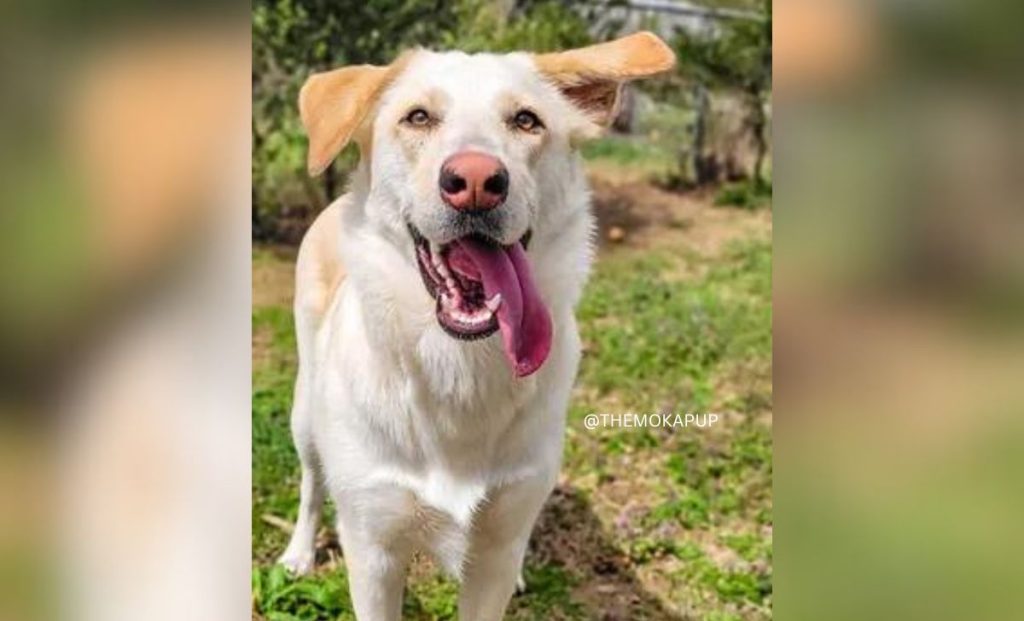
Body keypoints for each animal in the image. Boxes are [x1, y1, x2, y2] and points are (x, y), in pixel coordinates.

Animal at [278, 32, 679, 618]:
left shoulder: (499, 542)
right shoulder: (375, 552)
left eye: (527, 120)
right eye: (418, 117)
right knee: (311, 484)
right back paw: (299, 553)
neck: (458, 364)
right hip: (306, 413)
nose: (474, 182)